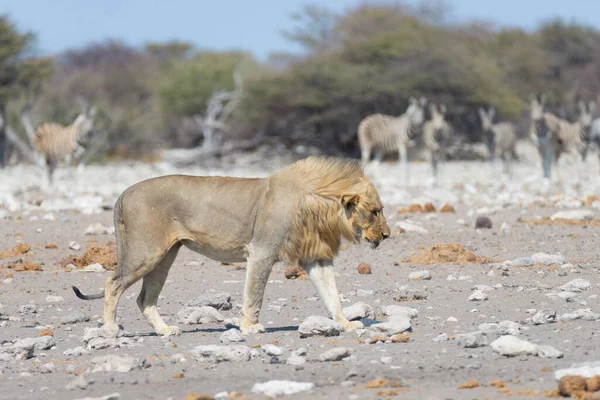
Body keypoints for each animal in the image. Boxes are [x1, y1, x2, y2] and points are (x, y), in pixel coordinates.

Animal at [72, 155, 392, 336]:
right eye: (375, 211)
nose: (388, 235)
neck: (320, 206)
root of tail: (124, 192)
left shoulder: (317, 257)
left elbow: (331, 294)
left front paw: (345, 322)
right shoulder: (262, 251)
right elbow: (254, 294)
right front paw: (250, 327)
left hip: (164, 257)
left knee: (144, 299)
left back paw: (165, 331)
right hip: (146, 252)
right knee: (112, 284)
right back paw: (111, 329)